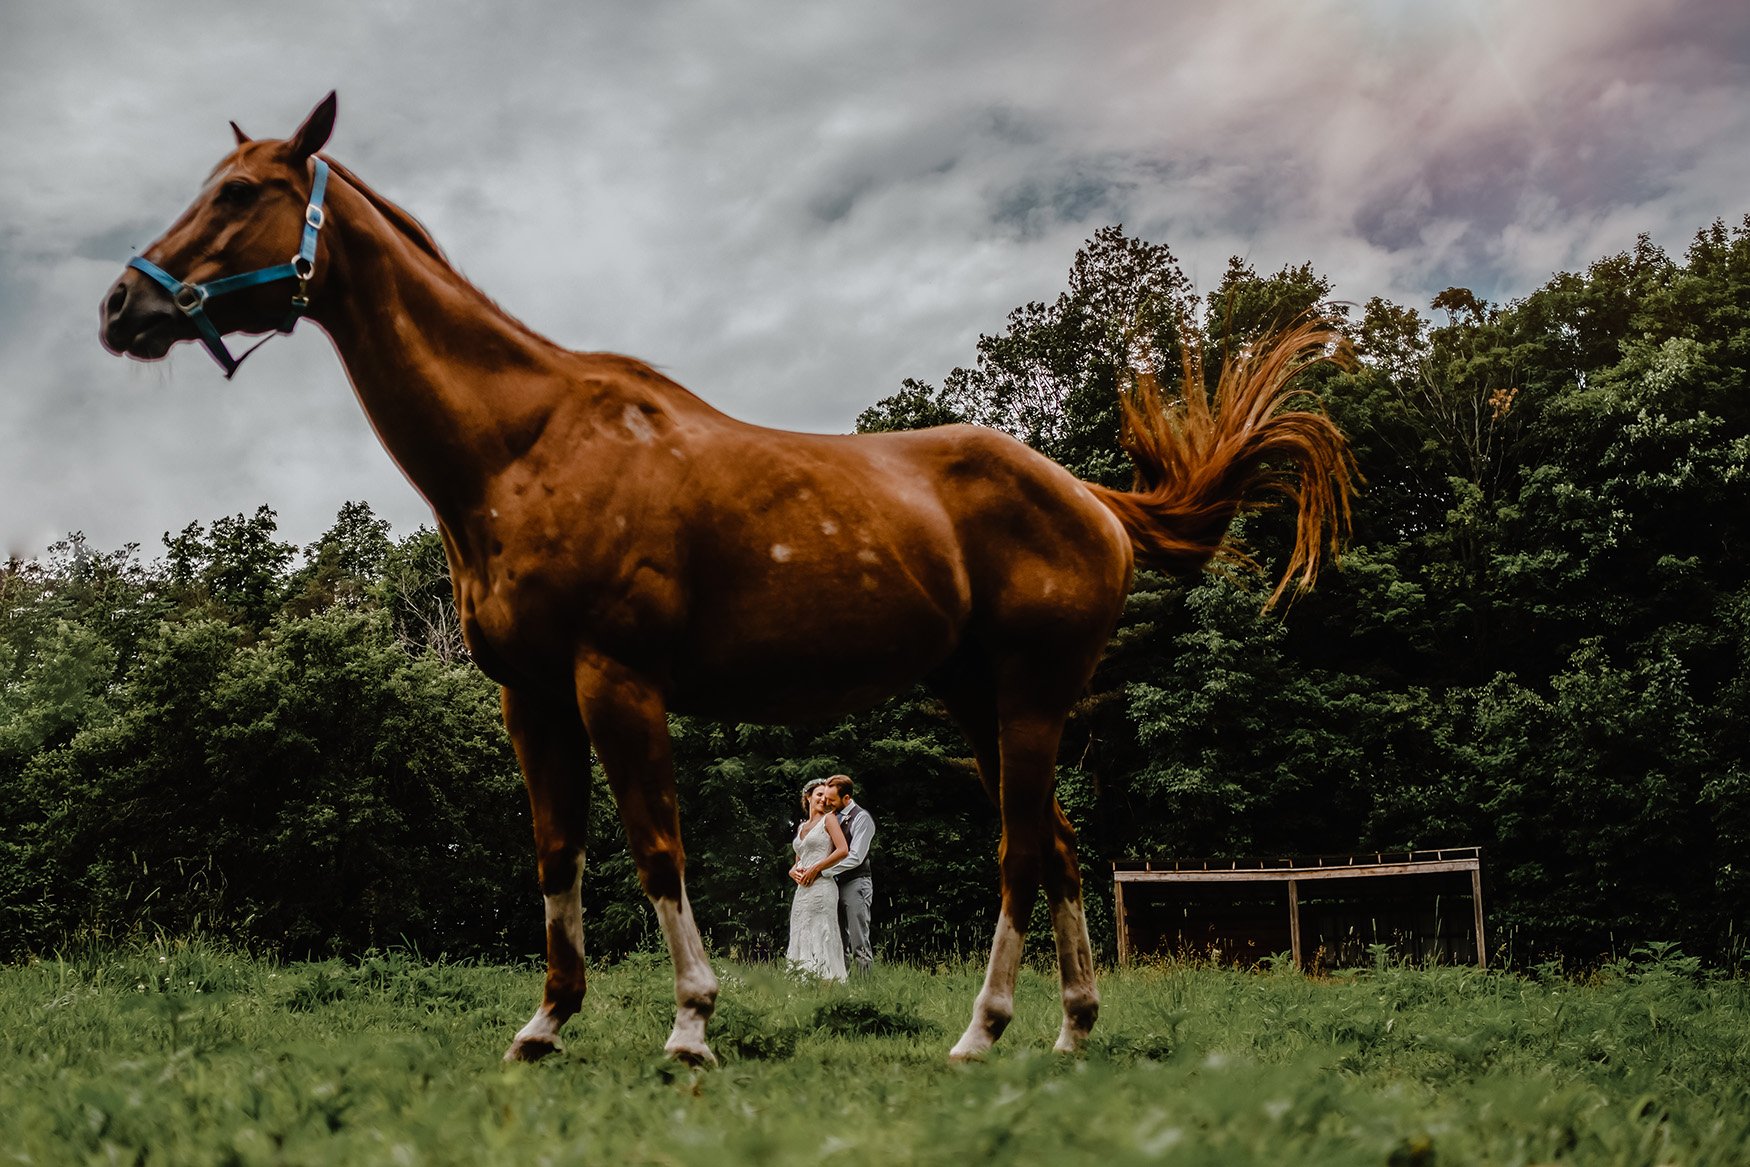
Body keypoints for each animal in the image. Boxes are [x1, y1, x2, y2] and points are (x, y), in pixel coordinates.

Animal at [99, 95, 1351, 1063]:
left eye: (237, 193)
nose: (121, 306)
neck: (524, 443)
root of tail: (1092, 499)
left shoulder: (617, 681)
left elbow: (657, 848)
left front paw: (691, 1025)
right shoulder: (530, 695)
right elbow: (557, 853)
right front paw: (545, 1025)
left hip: (1032, 697)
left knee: (1016, 854)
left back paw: (981, 1031)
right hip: (978, 702)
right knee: (1056, 848)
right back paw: (1069, 1027)